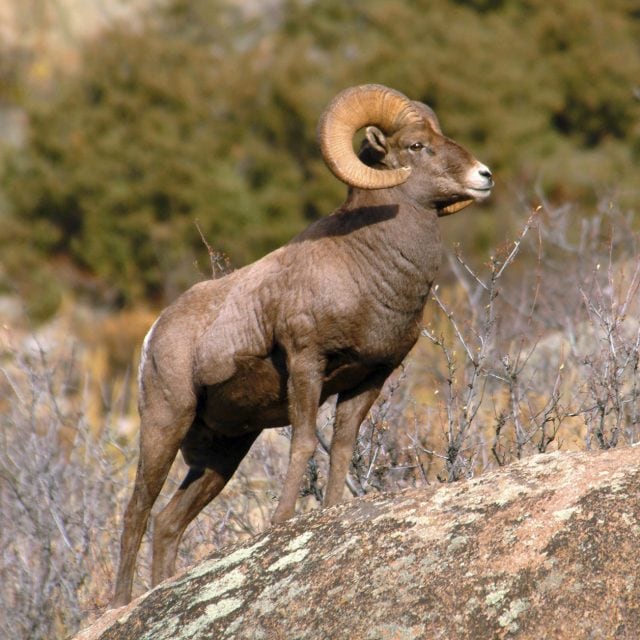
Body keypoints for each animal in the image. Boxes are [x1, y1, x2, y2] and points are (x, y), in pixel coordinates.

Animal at [112, 84, 493, 606]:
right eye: (417, 145)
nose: (484, 176)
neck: (363, 264)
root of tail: (156, 333)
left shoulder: (370, 379)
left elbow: (343, 444)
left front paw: (330, 512)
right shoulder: (306, 363)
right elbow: (307, 441)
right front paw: (282, 522)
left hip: (223, 453)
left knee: (168, 522)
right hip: (166, 424)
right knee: (137, 510)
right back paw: (120, 604)